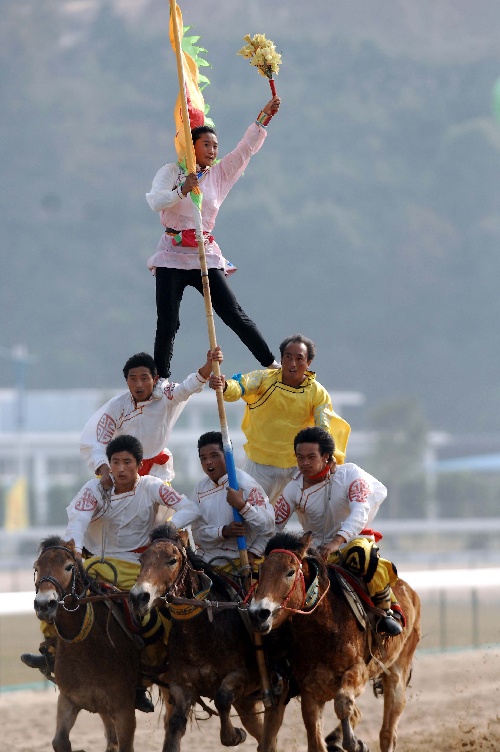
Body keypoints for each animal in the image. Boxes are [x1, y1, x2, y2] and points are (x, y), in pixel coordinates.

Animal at [31, 536, 142, 752]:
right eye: (37, 567)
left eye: (68, 567)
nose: (44, 604)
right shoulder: (69, 698)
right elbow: (60, 741)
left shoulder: (124, 707)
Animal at [129, 524, 286, 752]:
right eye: (142, 560)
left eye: (172, 560)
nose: (138, 597)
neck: (202, 633)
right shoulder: (182, 687)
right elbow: (176, 723)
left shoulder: (243, 676)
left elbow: (222, 698)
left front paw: (235, 735)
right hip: (247, 703)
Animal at [248, 532, 420, 752]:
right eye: (259, 572)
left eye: (290, 572)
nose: (258, 614)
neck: (325, 629)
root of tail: (409, 590)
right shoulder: (310, 690)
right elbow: (315, 740)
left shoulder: (358, 672)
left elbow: (342, 702)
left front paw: (353, 743)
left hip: (398, 669)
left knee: (388, 731)